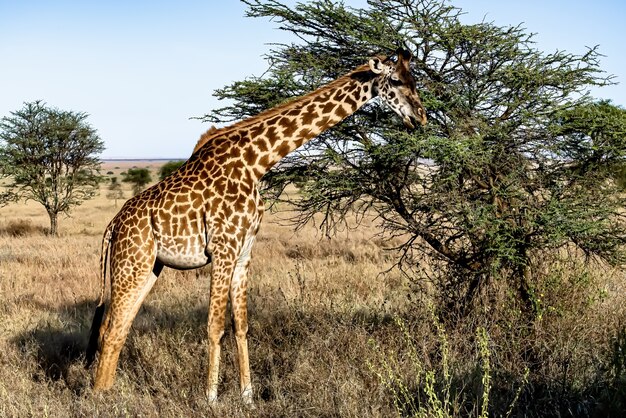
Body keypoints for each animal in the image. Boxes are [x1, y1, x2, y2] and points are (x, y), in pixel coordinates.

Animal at [85, 47, 426, 404]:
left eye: (415, 79)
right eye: (397, 81)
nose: (421, 117)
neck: (256, 162)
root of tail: (113, 226)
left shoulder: (244, 251)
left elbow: (242, 325)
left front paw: (247, 396)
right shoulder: (223, 248)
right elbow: (215, 325)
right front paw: (211, 398)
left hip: (150, 267)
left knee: (117, 327)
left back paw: (107, 394)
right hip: (132, 262)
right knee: (111, 328)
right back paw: (100, 398)